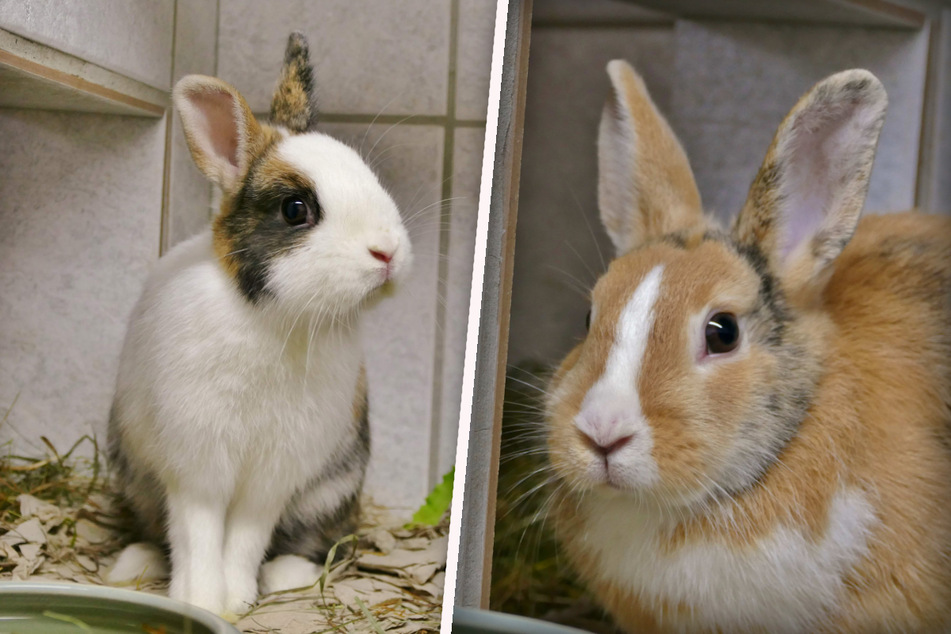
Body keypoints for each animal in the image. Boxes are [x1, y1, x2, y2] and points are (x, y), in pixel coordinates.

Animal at [106, 32, 410, 616]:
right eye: (295, 209)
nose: (387, 253)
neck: (274, 317)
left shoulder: (273, 476)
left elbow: (245, 538)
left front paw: (234, 599)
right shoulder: (195, 464)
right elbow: (198, 533)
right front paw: (201, 601)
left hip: (332, 488)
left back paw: (289, 575)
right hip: (136, 477)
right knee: (159, 531)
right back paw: (134, 565)